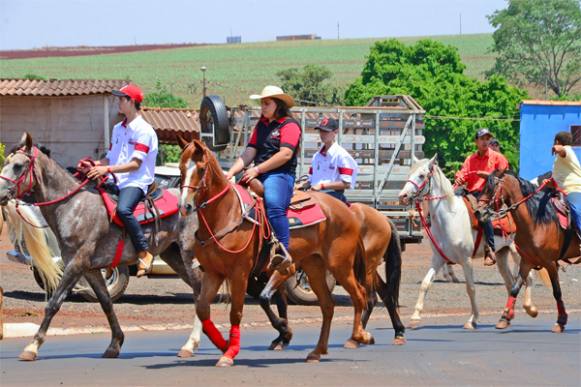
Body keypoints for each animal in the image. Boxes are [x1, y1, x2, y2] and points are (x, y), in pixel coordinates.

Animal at [0, 134, 203, 364]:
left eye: (18, 166)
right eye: (6, 163)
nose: (0, 195)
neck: (73, 207)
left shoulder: (75, 264)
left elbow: (54, 303)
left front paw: (32, 347)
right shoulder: (90, 269)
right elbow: (106, 303)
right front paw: (115, 344)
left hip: (190, 255)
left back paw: (192, 344)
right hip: (174, 256)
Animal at [176, 139, 372, 366]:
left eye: (200, 169)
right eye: (181, 170)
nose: (184, 206)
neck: (226, 215)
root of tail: (347, 210)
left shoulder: (240, 273)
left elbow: (236, 312)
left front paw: (230, 352)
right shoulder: (213, 273)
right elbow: (202, 309)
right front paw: (223, 345)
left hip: (340, 265)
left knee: (359, 294)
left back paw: (359, 336)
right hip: (314, 268)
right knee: (328, 305)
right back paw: (317, 351)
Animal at [396, 155, 536, 330]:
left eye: (421, 175)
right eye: (410, 173)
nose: (402, 196)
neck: (450, 217)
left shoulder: (466, 260)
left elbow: (471, 288)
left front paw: (472, 319)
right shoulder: (438, 258)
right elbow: (425, 283)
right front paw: (415, 317)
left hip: (518, 253)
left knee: (528, 278)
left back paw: (530, 308)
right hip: (501, 255)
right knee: (511, 283)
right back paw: (506, 317)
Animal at [478, 172, 576, 334]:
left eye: (491, 189)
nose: (478, 212)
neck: (536, 221)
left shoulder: (550, 264)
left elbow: (557, 291)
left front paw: (561, 321)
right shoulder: (526, 261)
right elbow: (515, 288)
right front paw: (504, 318)